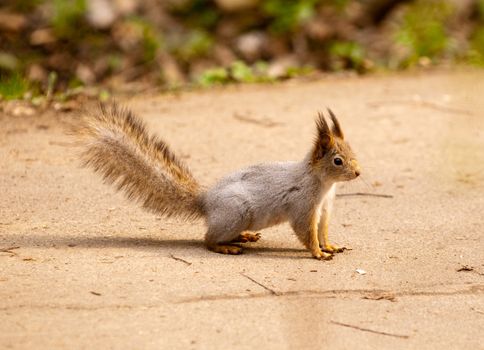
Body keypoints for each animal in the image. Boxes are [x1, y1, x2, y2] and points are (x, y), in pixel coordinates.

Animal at [74, 102, 360, 260]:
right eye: (338, 160)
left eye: (352, 151)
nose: (358, 173)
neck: (323, 183)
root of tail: (206, 201)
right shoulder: (303, 205)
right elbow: (307, 232)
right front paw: (318, 253)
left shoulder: (324, 209)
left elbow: (322, 230)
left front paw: (330, 246)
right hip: (236, 212)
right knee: (208, 239)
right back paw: (227, 247)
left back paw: (243, 237)